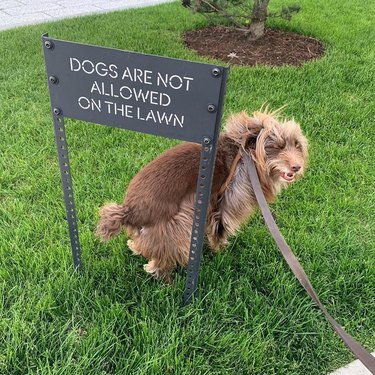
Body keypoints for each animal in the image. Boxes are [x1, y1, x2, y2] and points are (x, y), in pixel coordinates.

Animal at [96, 110, 308, 280]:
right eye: (277, 147)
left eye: (297, 145)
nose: (297, 167)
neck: (244, 154)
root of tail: (129, 211)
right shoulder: (226, 202)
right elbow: (221, 228)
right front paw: (219, 250)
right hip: (177, 224)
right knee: (161, 259)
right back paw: (165, 278)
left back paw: (136, 247)